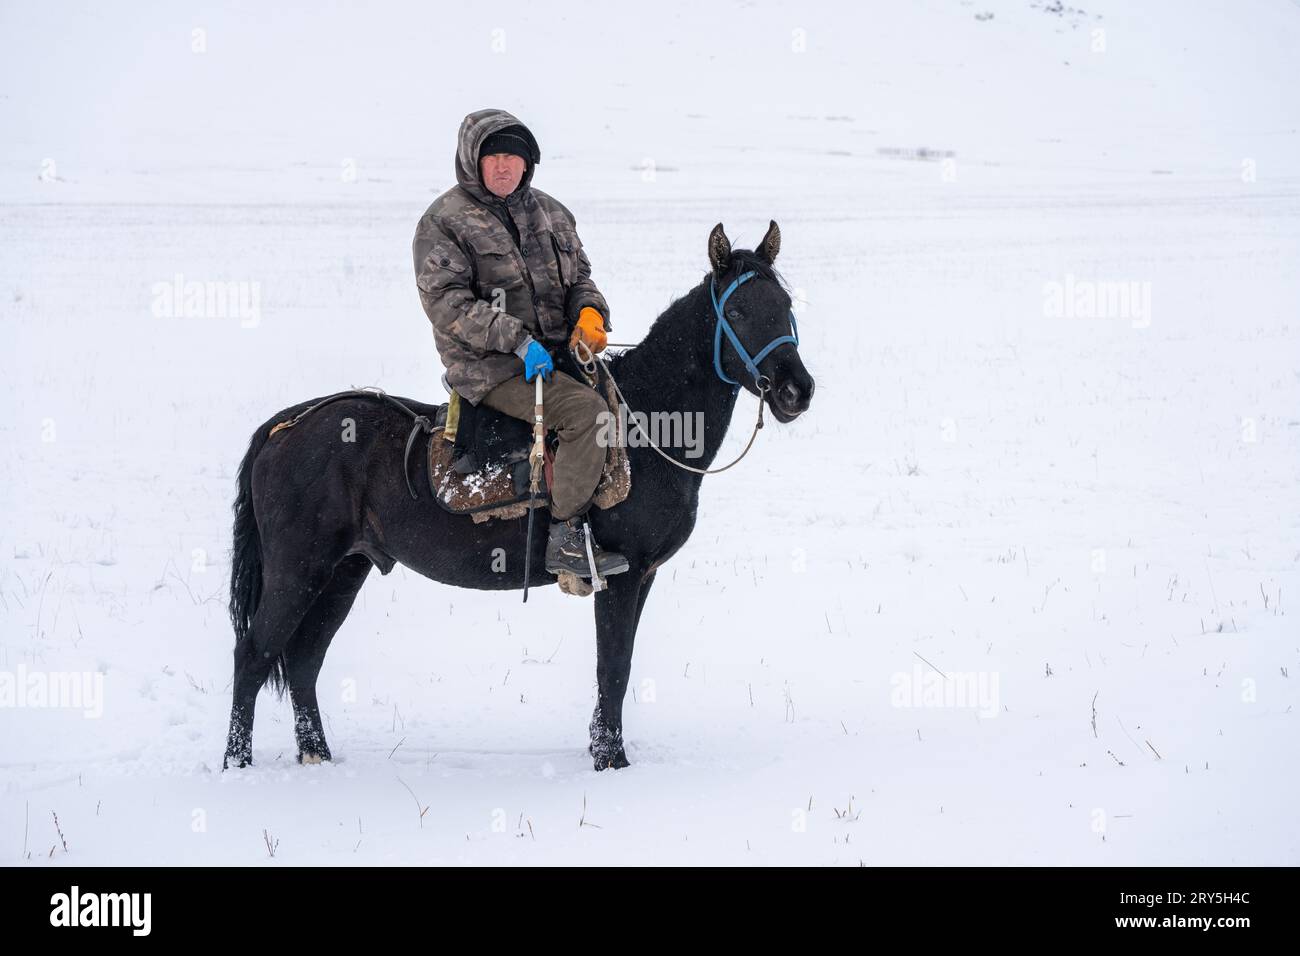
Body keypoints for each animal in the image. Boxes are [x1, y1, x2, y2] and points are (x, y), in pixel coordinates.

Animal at [223, 221, 815, 771]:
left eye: (784, 306)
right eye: (736, 311)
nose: (797, 390)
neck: (645, 423)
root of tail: (287, 426)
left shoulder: (642, 575)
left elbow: (617, 669)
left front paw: (604, 751)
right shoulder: (621, 575)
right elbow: (613, 668)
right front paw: (612, 761)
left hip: (347, 568)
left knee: (303, 659)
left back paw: (317, 756)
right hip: (299, 568)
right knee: (254, 654)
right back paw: (236, 764)